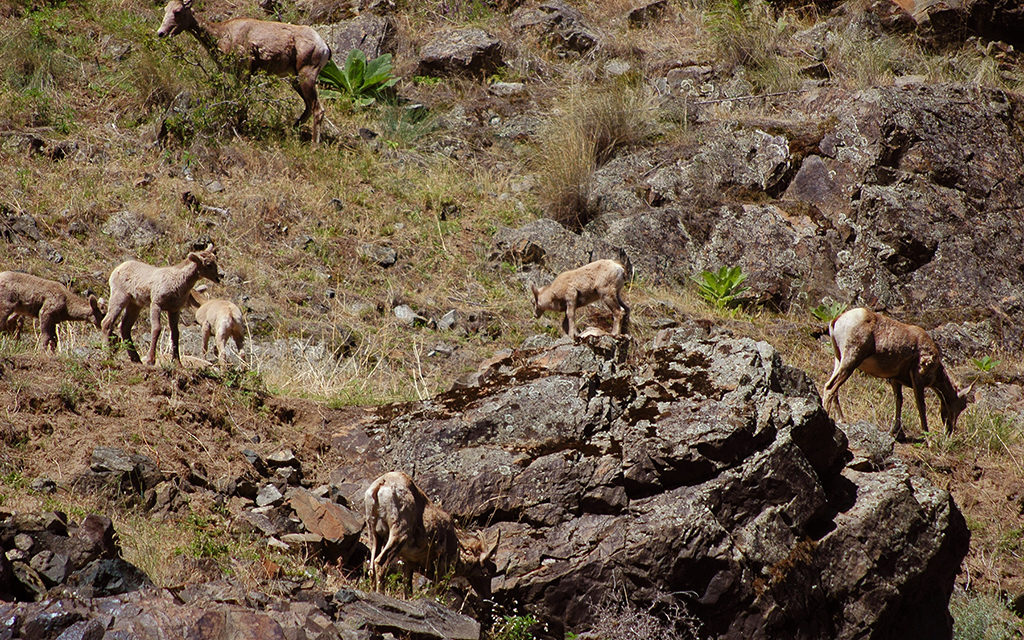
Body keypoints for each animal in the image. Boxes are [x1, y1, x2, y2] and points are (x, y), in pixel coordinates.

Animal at [156, 0, 331, 142]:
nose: (161, 33)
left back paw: (314, 146)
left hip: (306, 76)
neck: (223, 35)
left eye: (177, 11)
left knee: (318, 109)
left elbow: (242, 101)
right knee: (308, 107)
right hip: (295, 80)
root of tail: (324, 47)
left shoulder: (245, 70)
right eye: (165, 9)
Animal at [364, 468, 499, 598]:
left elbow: (407, 590)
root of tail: (381, 484)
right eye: (486, 573)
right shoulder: (441, 572)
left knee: (372, 568)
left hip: (374, 534)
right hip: (399, 533)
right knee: (380, 563)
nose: (487, 597)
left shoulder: (408, 564)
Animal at [819, 305, 970, 438]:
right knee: (830, 387)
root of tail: (836, 320)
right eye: (961, 406)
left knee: (834, 389)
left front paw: (895, 432)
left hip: (839, 360)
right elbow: (920, 406)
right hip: (851, 360)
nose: (950, 430)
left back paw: (842, 420)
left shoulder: (895, 380)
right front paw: (928, 439)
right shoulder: (918, 379)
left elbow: (899, 401)